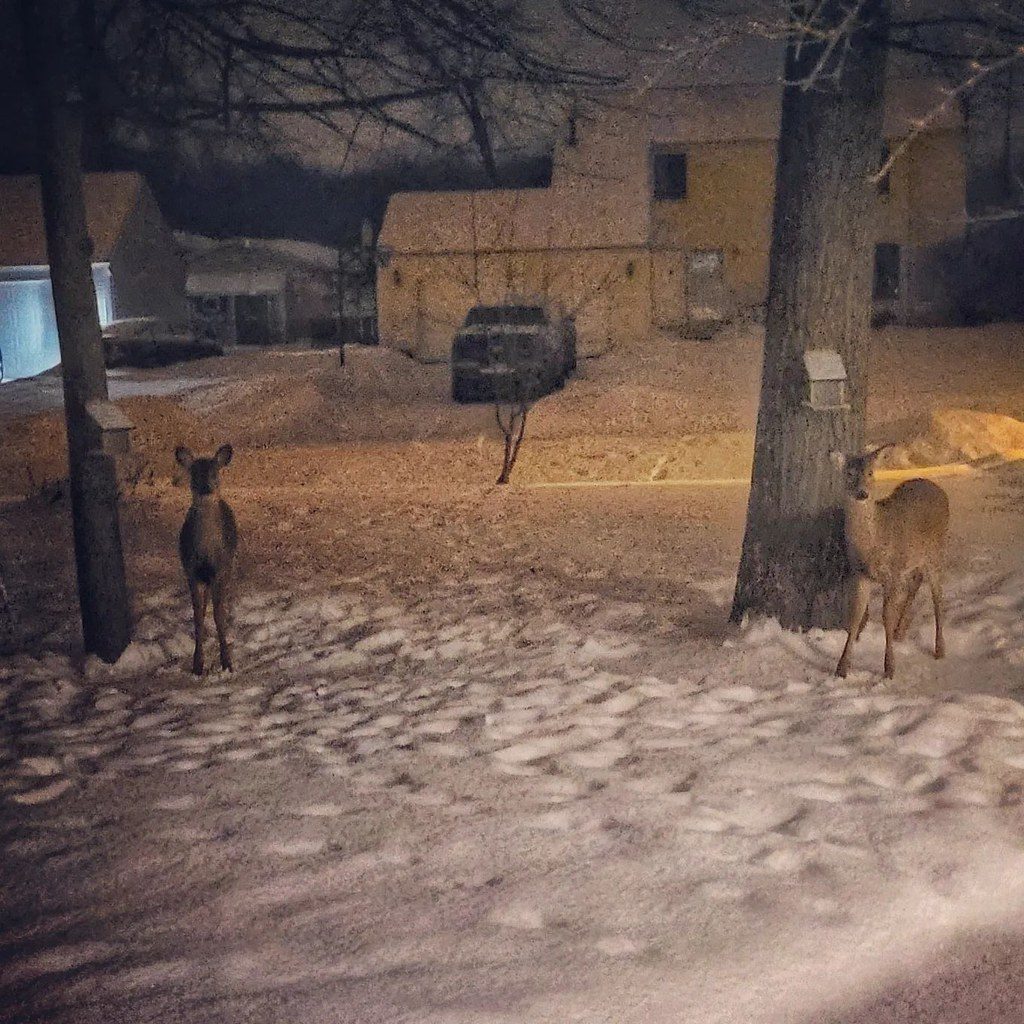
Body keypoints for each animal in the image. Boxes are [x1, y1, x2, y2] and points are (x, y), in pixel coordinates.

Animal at [175, 444, 238, 675]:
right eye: (194, 474)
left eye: (214, 473)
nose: (206, 488)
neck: (206, 550)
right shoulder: (191, 571)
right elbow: (197, 617)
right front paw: (197, 665)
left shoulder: (220, 568)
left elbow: (219, 616)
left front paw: (226, 662)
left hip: (229, 566)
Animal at [831, 445, 949, 680]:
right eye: (849, 473)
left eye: (870, 473)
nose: (862, 494)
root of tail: (940, 491)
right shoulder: (860, 573)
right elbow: (855, 616)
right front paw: (842, 668)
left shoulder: (893, 571)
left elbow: (887, 615)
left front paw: (889, 668)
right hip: (913, 557)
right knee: (917, 579)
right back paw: (900, 631)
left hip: (935, 550)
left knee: (938, 596)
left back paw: (939, 648)